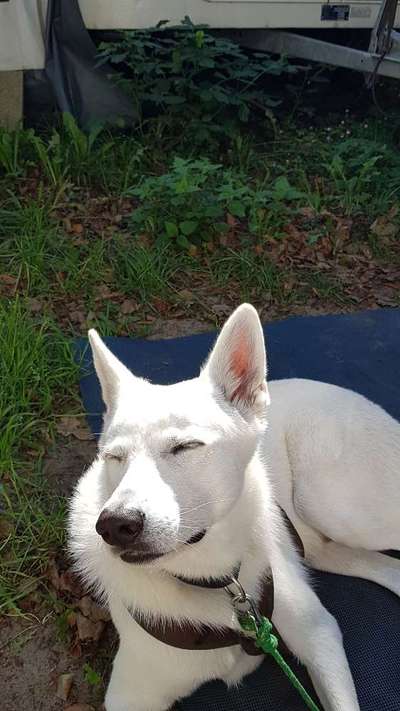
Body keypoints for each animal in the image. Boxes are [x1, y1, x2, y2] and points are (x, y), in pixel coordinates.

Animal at [69, 302, 400, 711]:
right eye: (113, 457)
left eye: (186, 447)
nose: (115, 525)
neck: (218, 582)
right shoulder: (130, 693)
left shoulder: (319, 634)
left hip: (334, 504)